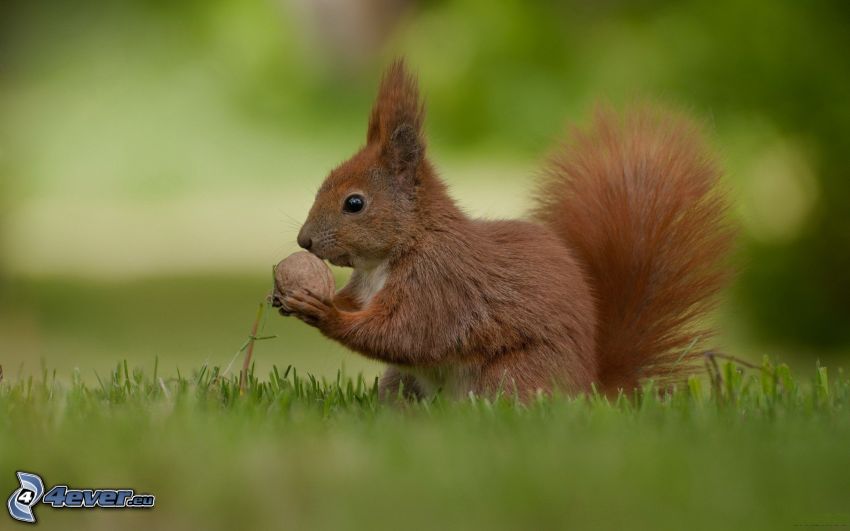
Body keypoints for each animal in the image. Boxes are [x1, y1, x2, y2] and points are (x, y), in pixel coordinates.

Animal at [274, 59, 736, 400]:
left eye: (355, 203)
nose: (304, 241)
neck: (389, 257)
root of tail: (590, 388)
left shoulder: (440, 285)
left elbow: (404, 335)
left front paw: (324, 312)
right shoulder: (368, 286)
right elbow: (362, 309)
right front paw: (291, 297)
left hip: (511, 375)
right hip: (402, 382)